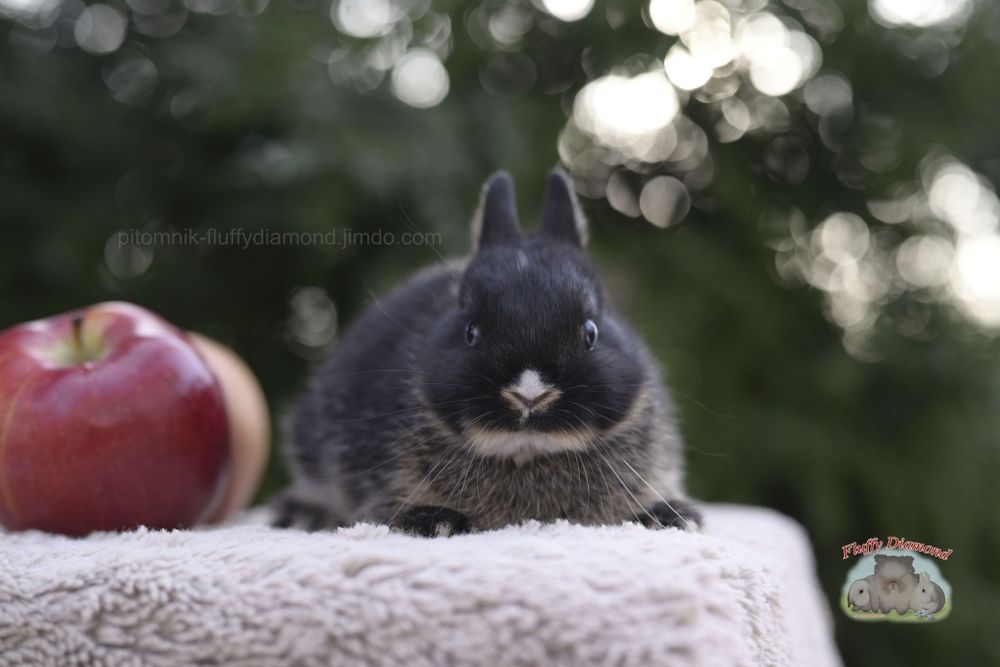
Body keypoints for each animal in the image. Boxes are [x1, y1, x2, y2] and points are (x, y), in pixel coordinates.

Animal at [272, 169, 701, 537]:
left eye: (591, 332)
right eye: (470, 331)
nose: (530, 395)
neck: (528, 455)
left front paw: (672, 517)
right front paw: (436, 521)